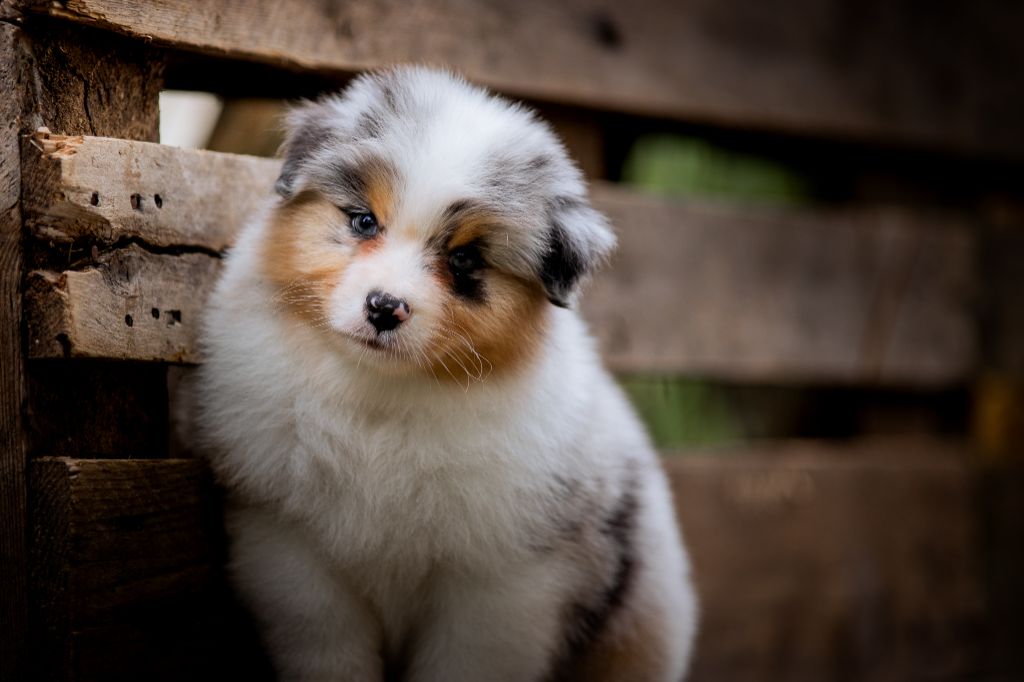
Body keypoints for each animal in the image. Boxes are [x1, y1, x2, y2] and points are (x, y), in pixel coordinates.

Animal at [193, 65, 696, 679]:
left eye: (464, 260)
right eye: (363, 221)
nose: (384, 307)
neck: (381, 399)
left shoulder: (500, 587)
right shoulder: (290, 549)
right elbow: (327, 649)